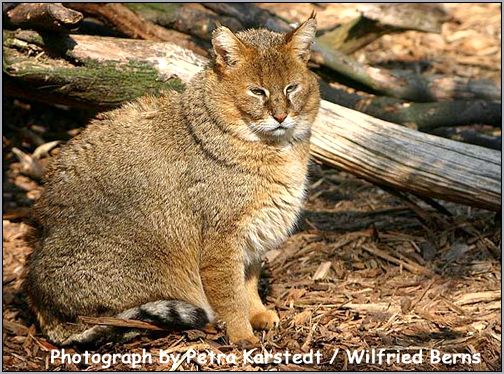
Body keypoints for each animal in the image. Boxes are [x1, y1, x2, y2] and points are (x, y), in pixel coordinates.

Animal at [24, 14, 318, 348]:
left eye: (291, 88)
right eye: (257, 92)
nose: (281, 117)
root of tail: (38, 301)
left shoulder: (255, 237)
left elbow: (248, 283)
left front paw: (257, 314)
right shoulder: (222, 241)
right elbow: (231, 296)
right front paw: (243, 335)